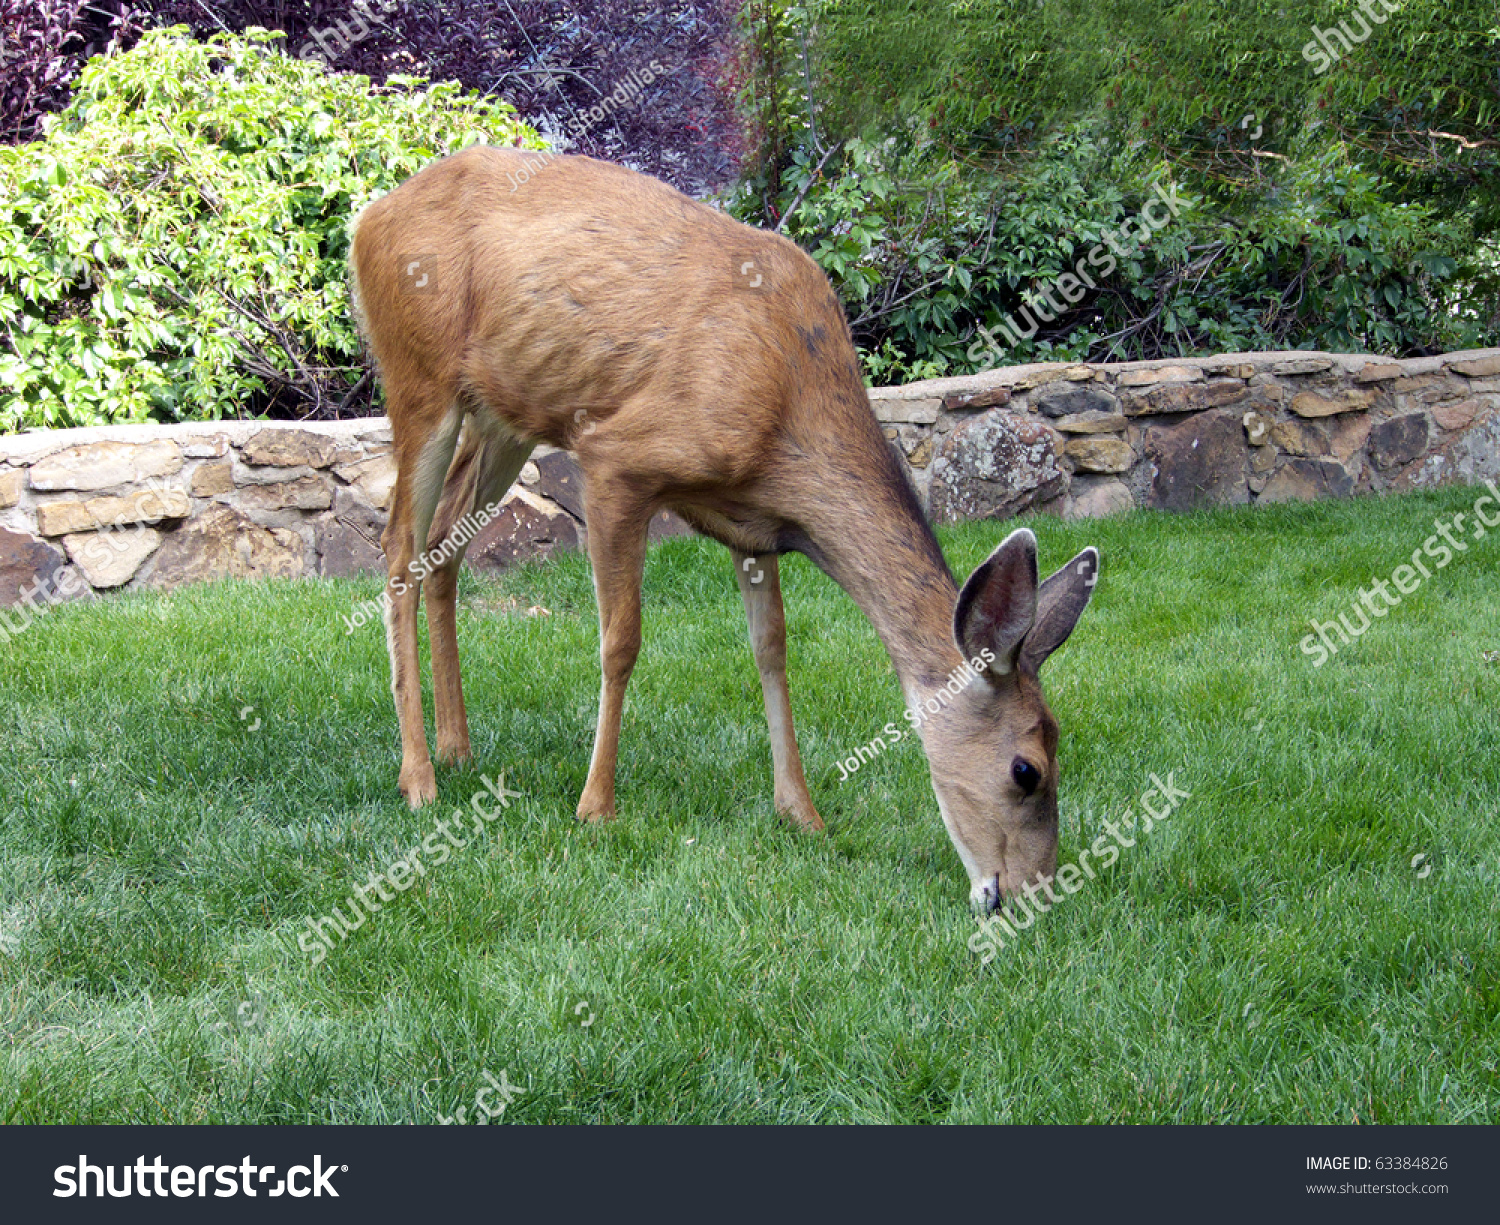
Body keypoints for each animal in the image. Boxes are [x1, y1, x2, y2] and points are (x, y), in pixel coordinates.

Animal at [351, 143, 1104, 905]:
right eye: (1028, 769)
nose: (1035, 891)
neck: (788, 411)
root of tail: (369, 219)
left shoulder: (754, 525)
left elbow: (772, 648)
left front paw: (800, 811)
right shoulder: (616, 459)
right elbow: (621, 641)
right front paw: (595, 806)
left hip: (504, 412)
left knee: (443, 543)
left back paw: (457, 745)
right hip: (420, 375)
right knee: (397, 547)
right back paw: (419, 775)